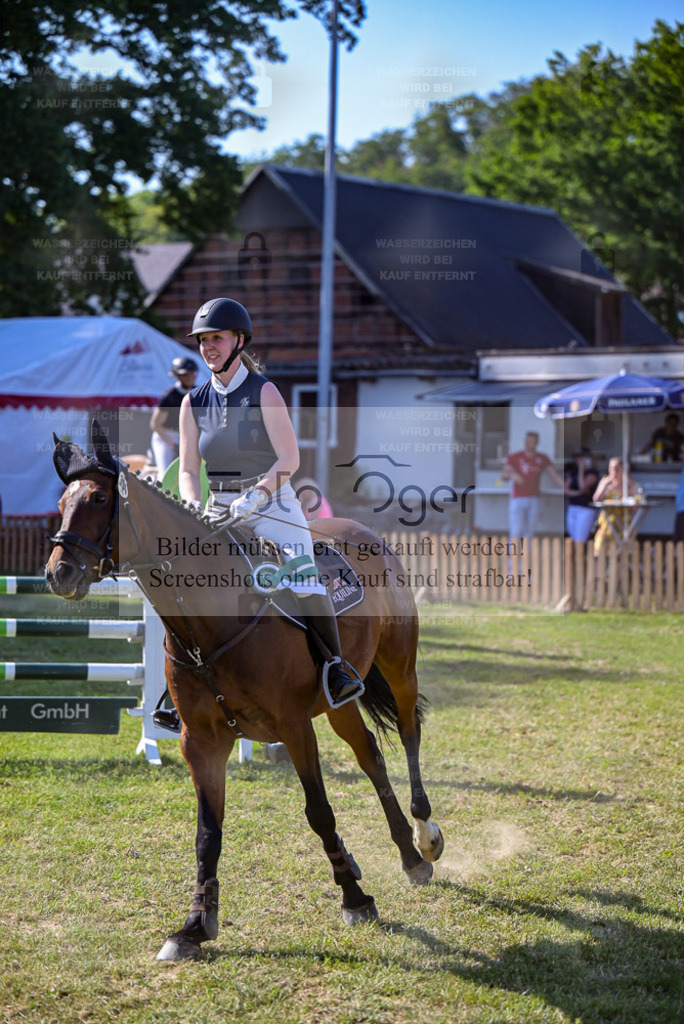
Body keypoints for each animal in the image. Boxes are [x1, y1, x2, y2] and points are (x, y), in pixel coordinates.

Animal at [44, 421, 444, 958]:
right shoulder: (201, 741)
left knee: (407, 732)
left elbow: (319, 812)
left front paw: (355, 899)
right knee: (370, 756)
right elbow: (207, 833)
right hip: (337, 701)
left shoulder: (294, 728)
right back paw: (407, 854)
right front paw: (194, 925)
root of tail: (365, 534)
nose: (58, 573)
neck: (210, 622)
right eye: (62, 501)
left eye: (101, 497)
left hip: (399, 666)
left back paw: (425, 838)